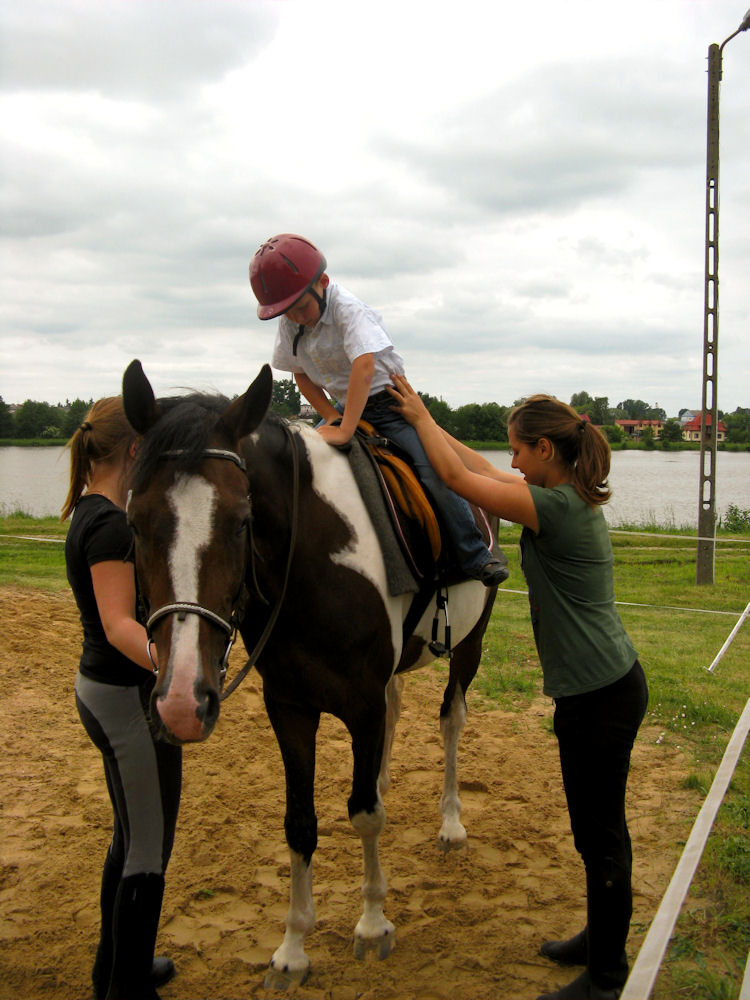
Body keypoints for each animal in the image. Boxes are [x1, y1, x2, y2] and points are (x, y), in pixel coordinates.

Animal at [122, 359, 502, 989]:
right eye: (134, 521)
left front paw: (372, 926)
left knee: (451, 719)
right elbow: (300, 823)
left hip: (469, 644)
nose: (180, 701)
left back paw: (451, 824)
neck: (315, 558)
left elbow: (365, 816)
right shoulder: (290, 707)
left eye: (242, 520)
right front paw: (293, 950)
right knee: (398, 711)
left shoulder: (361, 705)